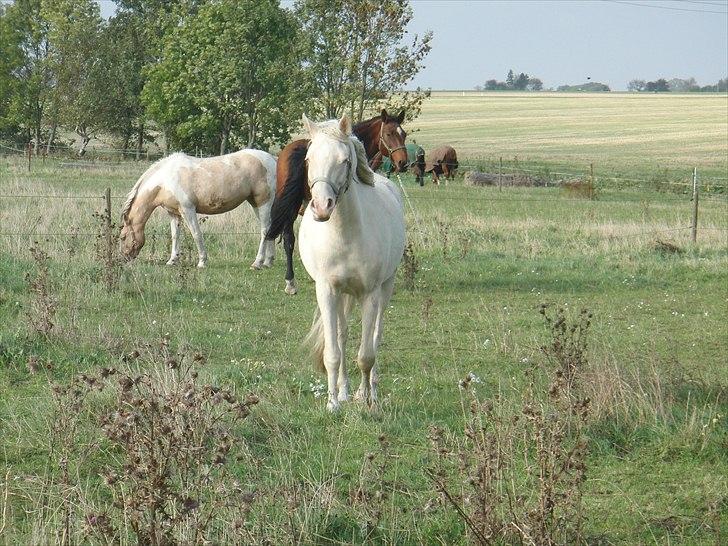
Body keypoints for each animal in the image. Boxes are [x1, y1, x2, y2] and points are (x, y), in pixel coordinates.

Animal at [121, 149, 278, 268]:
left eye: (122, 237)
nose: (123, 258)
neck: (166, 180)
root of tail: (272, 159)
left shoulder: (188, 210)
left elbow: (196, 234)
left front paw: (202, 262)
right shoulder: (173, 213)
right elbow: (175, 236)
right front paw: (172, 260)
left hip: (263, 202)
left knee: (264, 230)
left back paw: (257, 263)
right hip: (256, 204)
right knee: (270, 228)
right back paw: (268, 262)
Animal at [298, 116, 406, 412]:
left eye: (344, 160)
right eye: (309, 159)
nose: (322, 207)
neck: (344, 234)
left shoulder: (370, 294)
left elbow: (366, 356)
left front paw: (367, 400)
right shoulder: (327, 291)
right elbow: (333, 352)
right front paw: (333, 403)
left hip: (386, 287)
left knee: (376, 336)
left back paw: (370, 392)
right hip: (342, 295)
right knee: (342, 336)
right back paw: (345, 392)